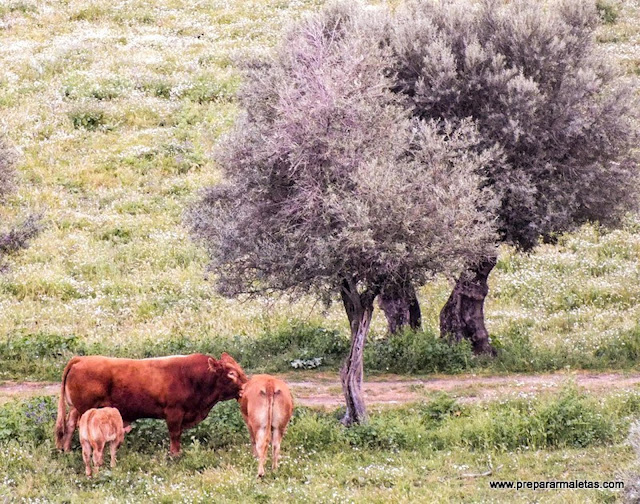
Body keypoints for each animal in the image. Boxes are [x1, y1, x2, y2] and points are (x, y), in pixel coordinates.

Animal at [55, 352, 248, 454]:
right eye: (231, 374)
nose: (247, 384)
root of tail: (82, 359)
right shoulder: (174, 412)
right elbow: (175, 434)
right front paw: (175, 454)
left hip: (76, 408)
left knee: (69, 424)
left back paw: (66, 450)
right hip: (86, 408)